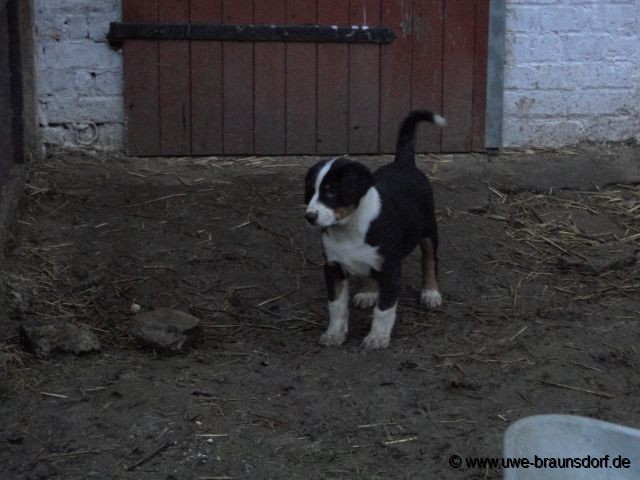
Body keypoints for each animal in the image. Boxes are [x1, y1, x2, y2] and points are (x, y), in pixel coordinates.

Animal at [304, 109, 444, 348]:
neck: (348, 229)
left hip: (428, 229)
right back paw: (369, 292)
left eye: (331, 191)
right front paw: (334, 334)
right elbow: (337, 307)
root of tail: (403, 163)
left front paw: (377, 338)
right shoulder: (333, 267)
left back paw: (431, 292)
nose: (309, 217)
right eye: (311, 191)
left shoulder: (390, 269)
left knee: (429, 260)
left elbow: (384, 310)